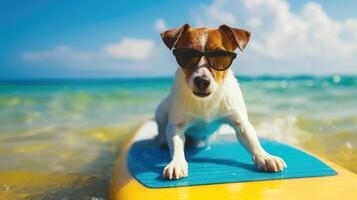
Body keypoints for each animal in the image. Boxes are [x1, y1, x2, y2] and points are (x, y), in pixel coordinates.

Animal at [154, 23, 286, 180]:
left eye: (220, 56)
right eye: (187, 55)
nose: (201, 81)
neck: (206, 101)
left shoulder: (241, 123)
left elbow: (252, 140)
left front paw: (265, 157)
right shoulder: (176, 126)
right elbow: (177, 145)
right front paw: (177, 162)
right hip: (160, 111)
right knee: (162, 128)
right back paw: (162, 140)